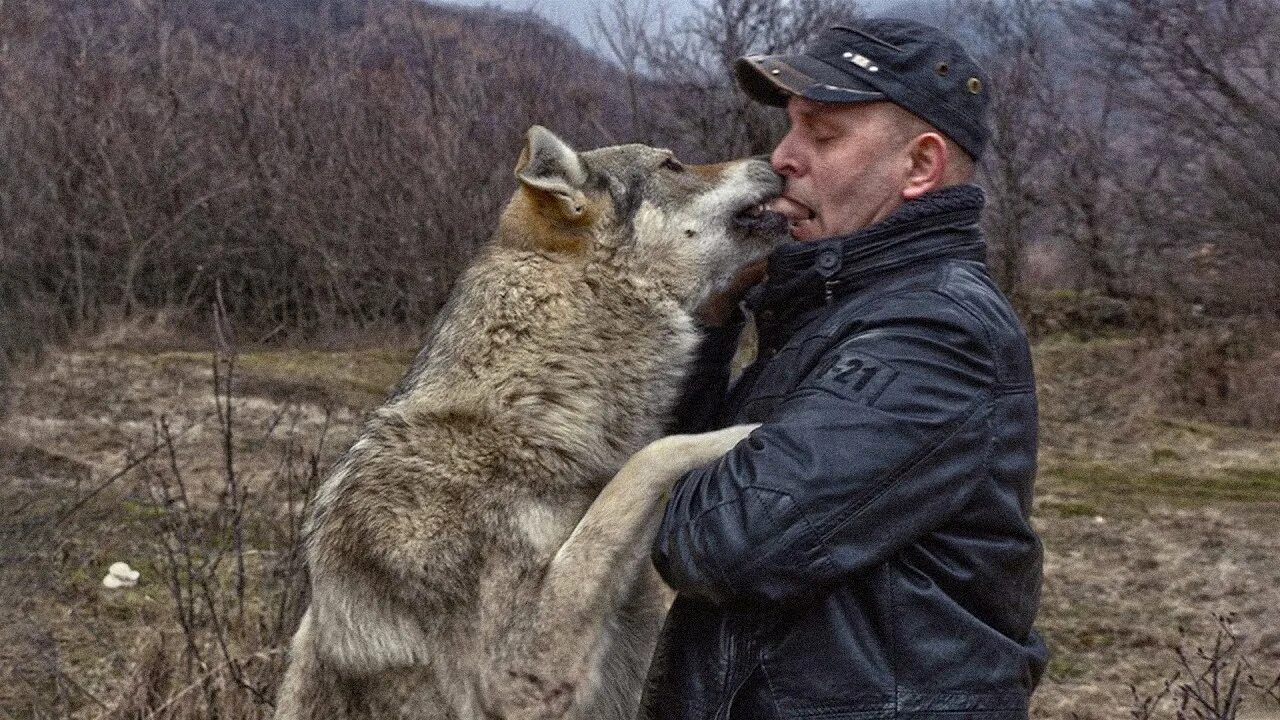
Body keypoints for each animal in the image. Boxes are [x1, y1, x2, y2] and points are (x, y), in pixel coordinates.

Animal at [275, 126, 783, 712]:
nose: (775, 158)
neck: (525, 414)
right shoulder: (520, 675)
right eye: (672, 164)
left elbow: (631, 475)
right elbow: (644, 464)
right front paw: (744, 433)